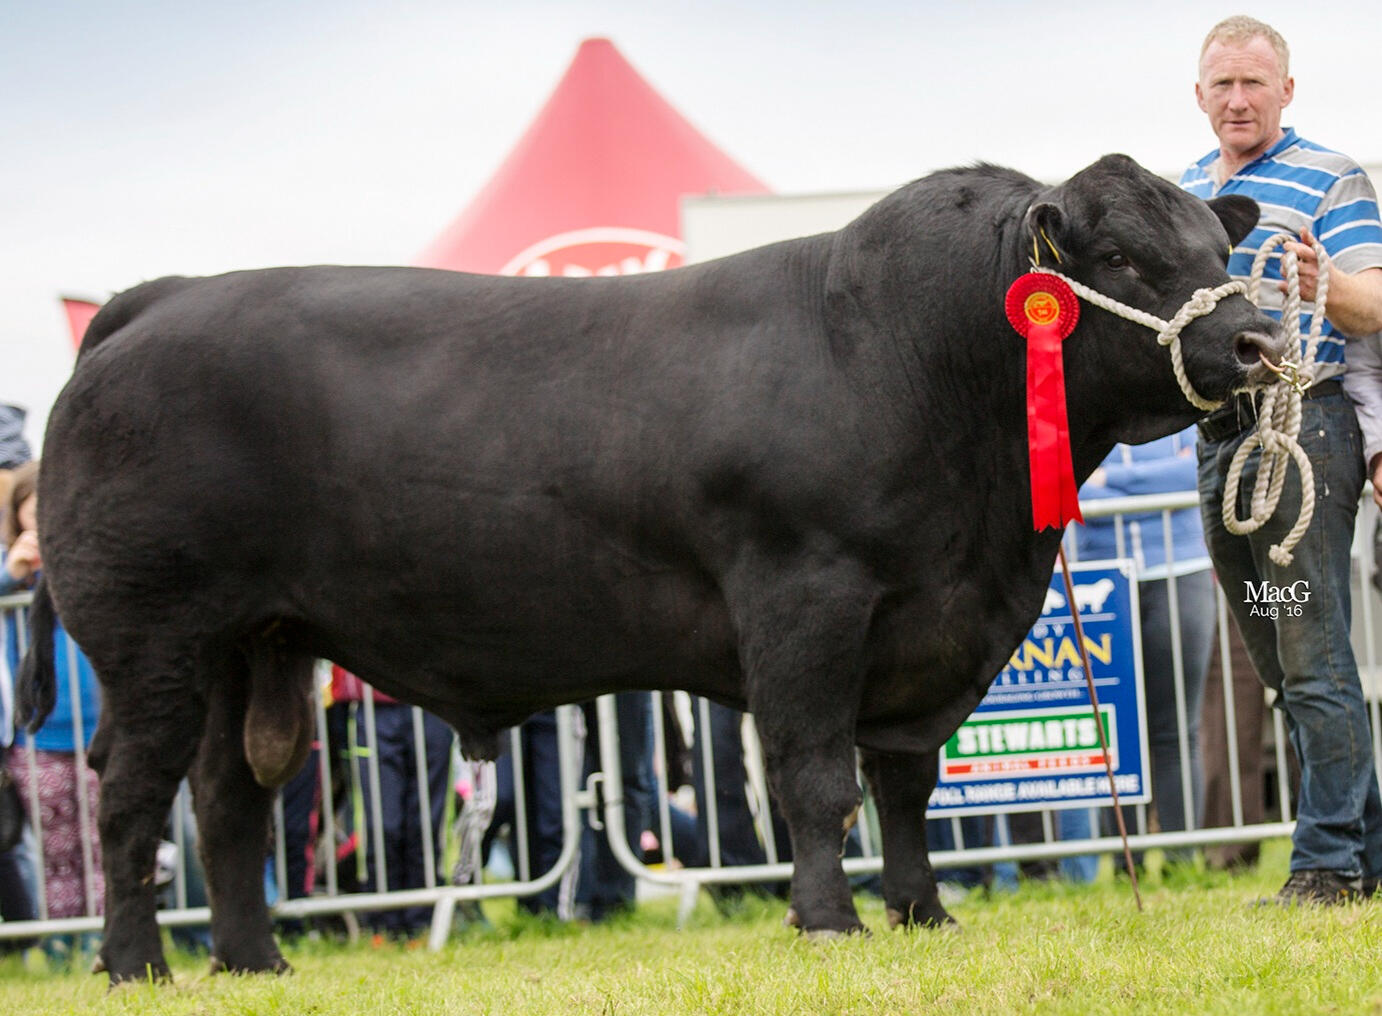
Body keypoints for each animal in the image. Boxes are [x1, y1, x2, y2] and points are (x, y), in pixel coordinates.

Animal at [19, 154, 1281, 983]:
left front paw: (921, 911)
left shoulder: (930, 628)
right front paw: (828, 918)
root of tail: (164, 296)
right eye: (1115, 255)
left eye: (1221, 250)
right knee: (133, 794)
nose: (1258, 340)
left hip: (251, 641)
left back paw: (252, 959)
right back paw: (136, 964)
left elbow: (905, 784)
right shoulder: (807, 597)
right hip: (151, 638)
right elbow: (817, 780)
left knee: (229, 798)